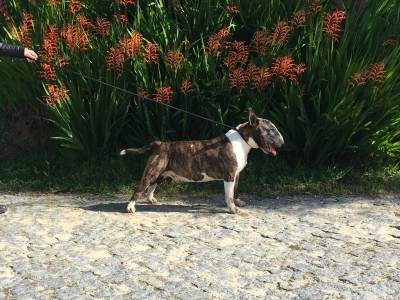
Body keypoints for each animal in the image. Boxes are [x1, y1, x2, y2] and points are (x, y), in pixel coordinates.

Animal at [120, 109, 282, 214]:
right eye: (271, 130)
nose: (283, 142)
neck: (242, 138)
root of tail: (159, 144)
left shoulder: (236, 175)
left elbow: (235, 191)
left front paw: (238, 202)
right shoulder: (229, 175)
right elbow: (228, 195)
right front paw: (232, 209)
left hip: (161, 173)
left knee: (151, 187)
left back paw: (150, 199)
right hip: (152, 172)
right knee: (140, 188)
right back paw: (130, 207)